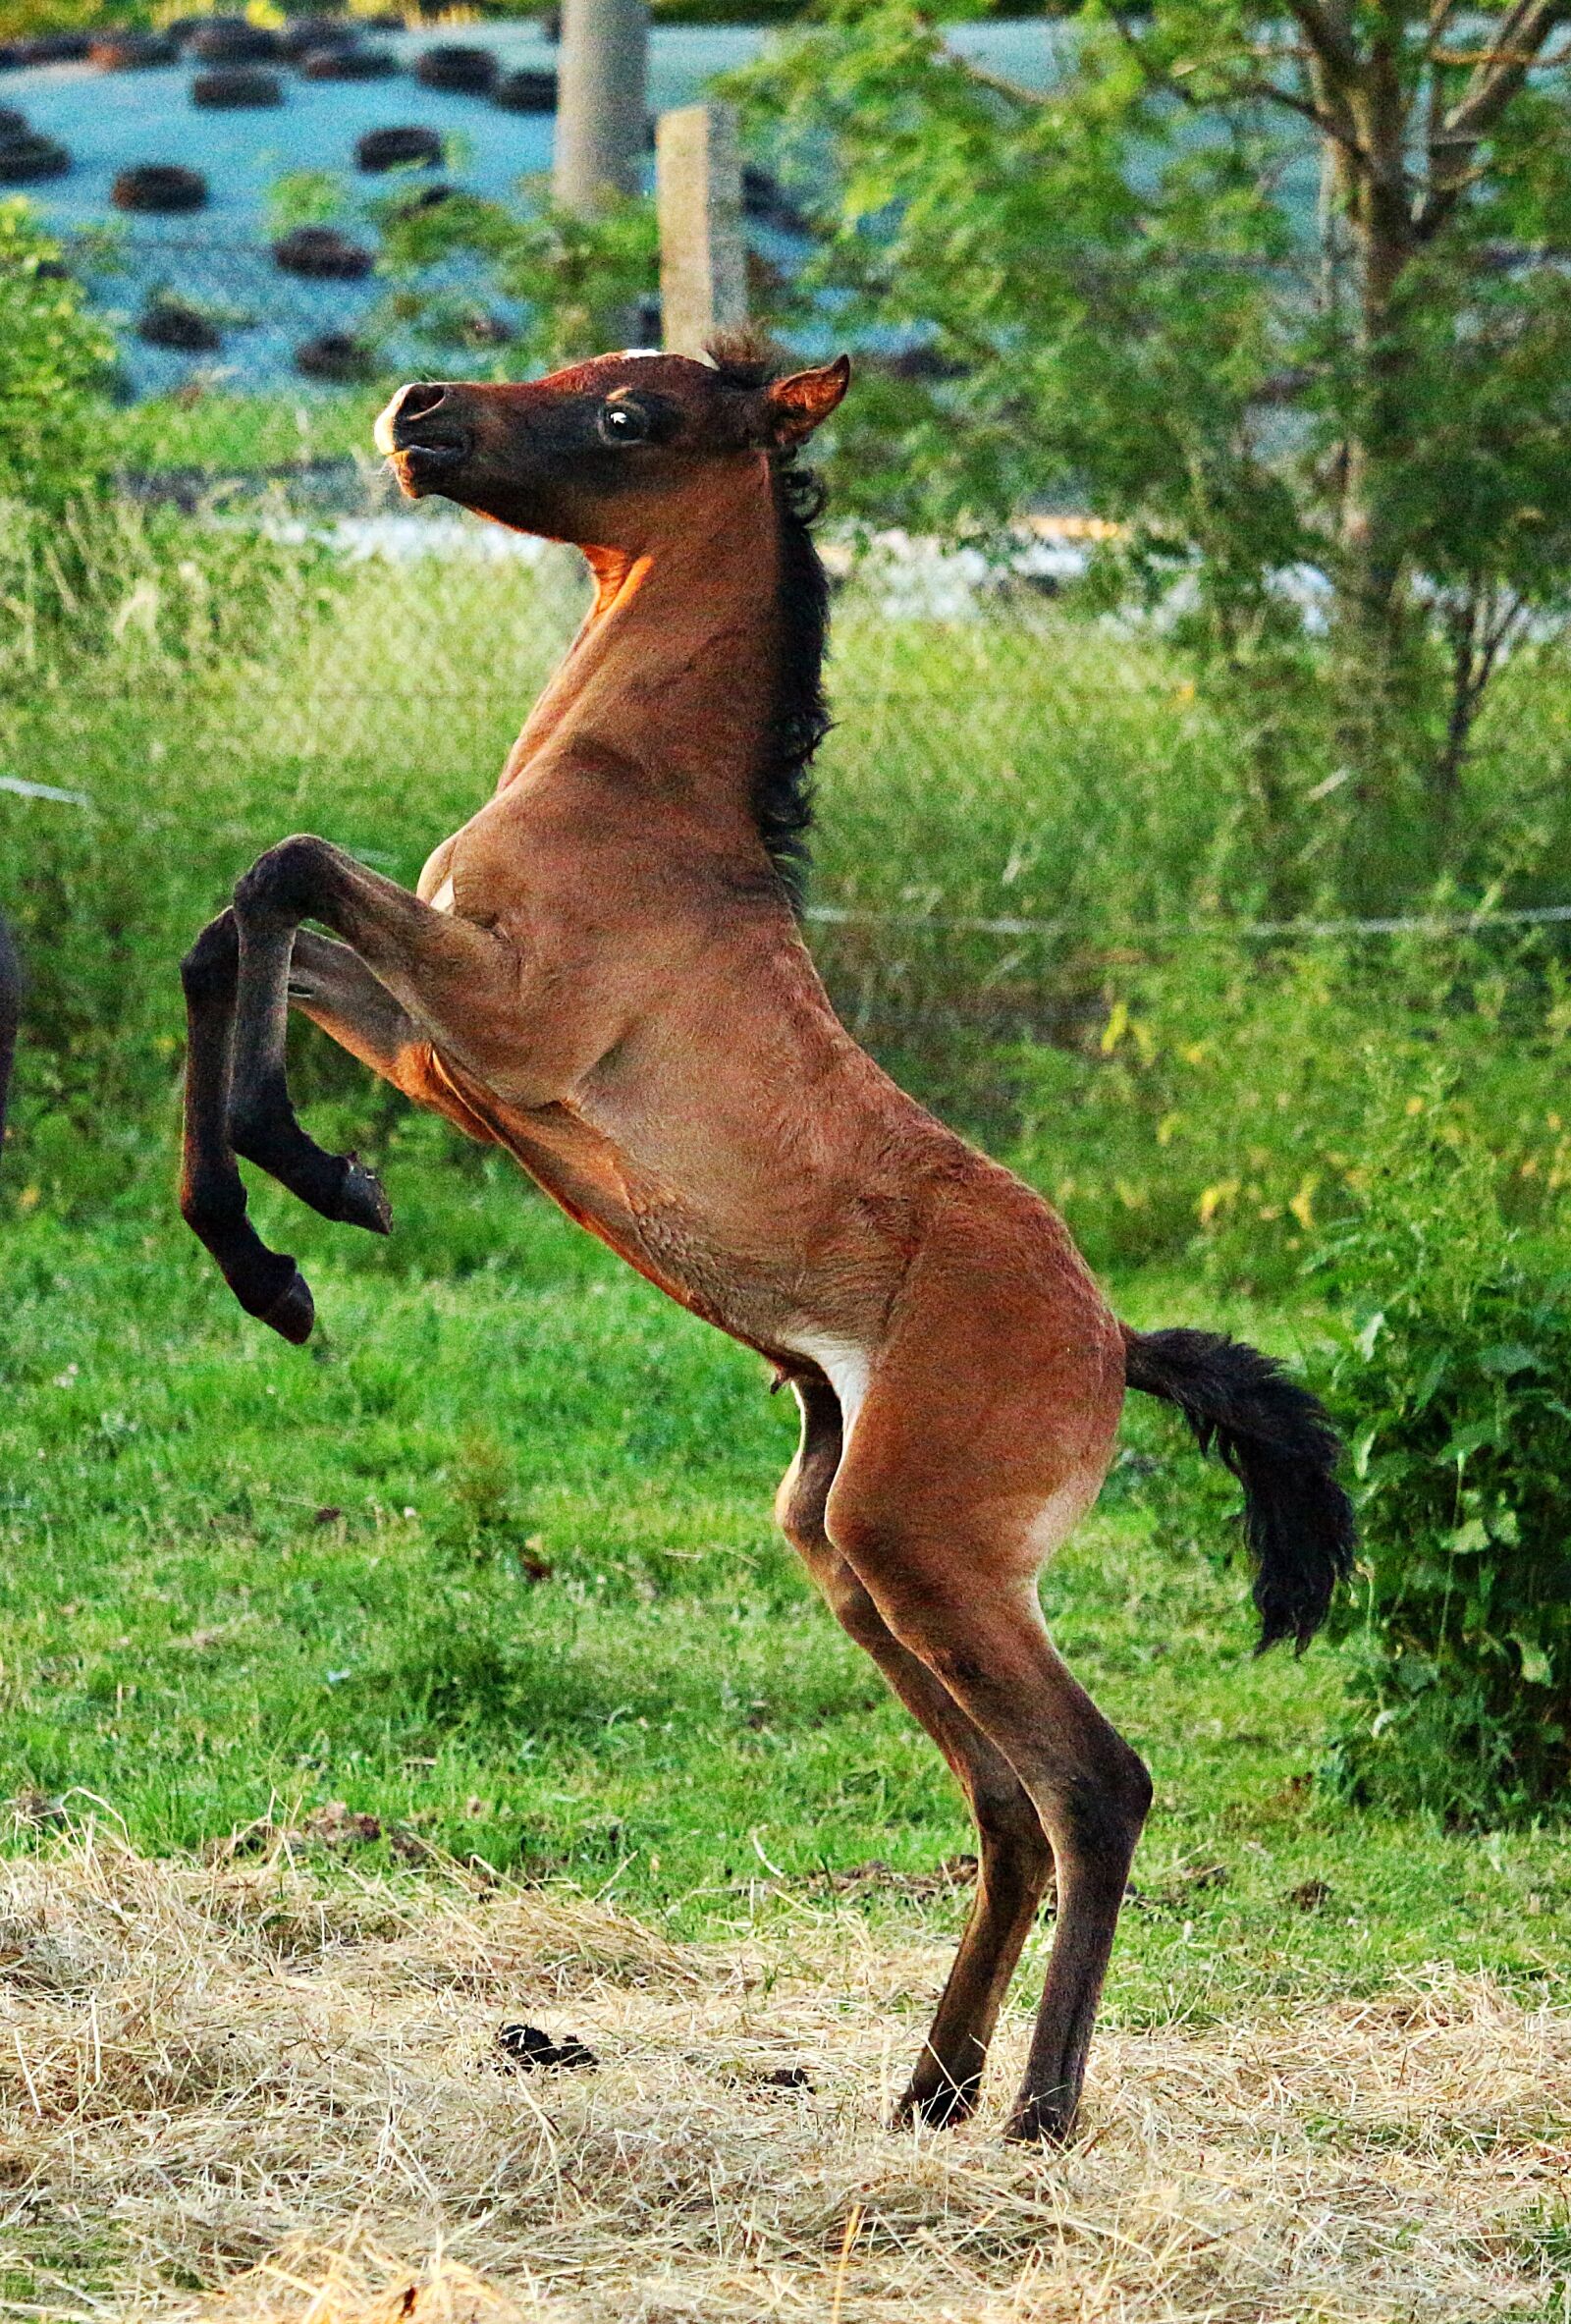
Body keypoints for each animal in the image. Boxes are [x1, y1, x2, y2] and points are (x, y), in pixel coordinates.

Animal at [178, 337, 1354, 2144]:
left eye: (625, 413)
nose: (417, 412)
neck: (638, 807)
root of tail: (1116, 1342)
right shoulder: (442, 1049)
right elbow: (235, 939)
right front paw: (274, 1241)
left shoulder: (505, 1023)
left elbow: (281, 869)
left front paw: (304, 1192)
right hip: (850, 1554)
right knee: (1007, 1803)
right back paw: (929, 2089)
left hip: (928, 1552)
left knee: (1095, 1782)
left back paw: (1038, 2108)